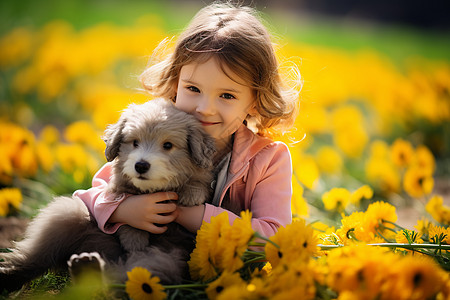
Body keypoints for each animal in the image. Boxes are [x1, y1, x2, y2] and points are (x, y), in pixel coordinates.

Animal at [0, 99, 216, 292]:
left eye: (168, 145)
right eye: (135, 142)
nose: (141, 165)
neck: (152, 189)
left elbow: (199, 181)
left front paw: (192, 194)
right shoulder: (119, 188)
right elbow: (126, 208)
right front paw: (134, 237)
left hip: (166, 258)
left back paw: (90, 271)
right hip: (64, 216)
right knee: (37, 254)